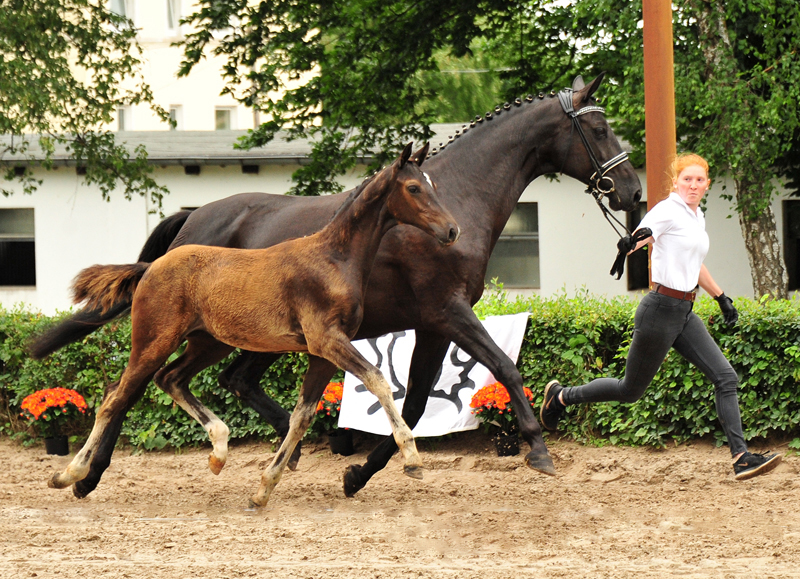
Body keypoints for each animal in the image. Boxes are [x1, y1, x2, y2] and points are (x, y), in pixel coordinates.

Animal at [50, 144, 460, 508]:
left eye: (435, 186)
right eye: (414, 187)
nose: (453, 230)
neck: (333, 258)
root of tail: (151, 267)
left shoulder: (323, 352)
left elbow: (301, 416)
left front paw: (263, 489)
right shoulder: (327, 341)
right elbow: (377, 380)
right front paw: (412, 459)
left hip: (209, 343)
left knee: (170, 379)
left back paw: (218, 451)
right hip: (154, 340)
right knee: (114, 397)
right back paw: (70, 474)